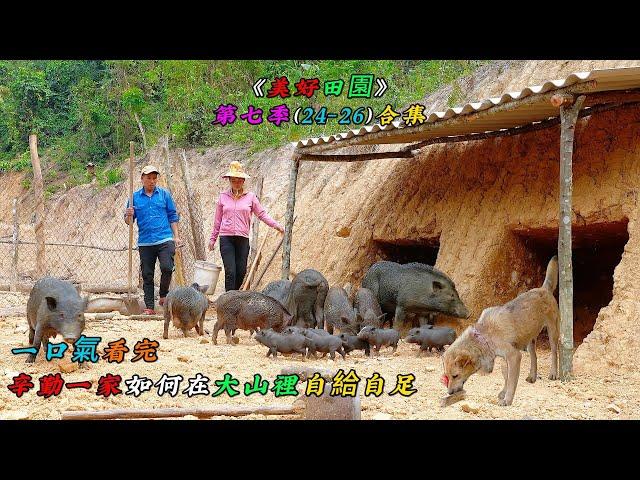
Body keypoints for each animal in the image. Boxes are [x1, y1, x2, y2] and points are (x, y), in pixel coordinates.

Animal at [442, 255, 556, 404]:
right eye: (447, 375)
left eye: (455, 375)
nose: (449, 392)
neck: (484, 335)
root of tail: (544, 289)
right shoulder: (504, 359)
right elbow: (507, 377)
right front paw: (504, 392)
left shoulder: (514, 356)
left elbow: (512, 381)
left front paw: (508, 399)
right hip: (530, 340)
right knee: (534, 356)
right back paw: (532, 376)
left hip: (553, 332)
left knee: (555, 353)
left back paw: (554, 373)